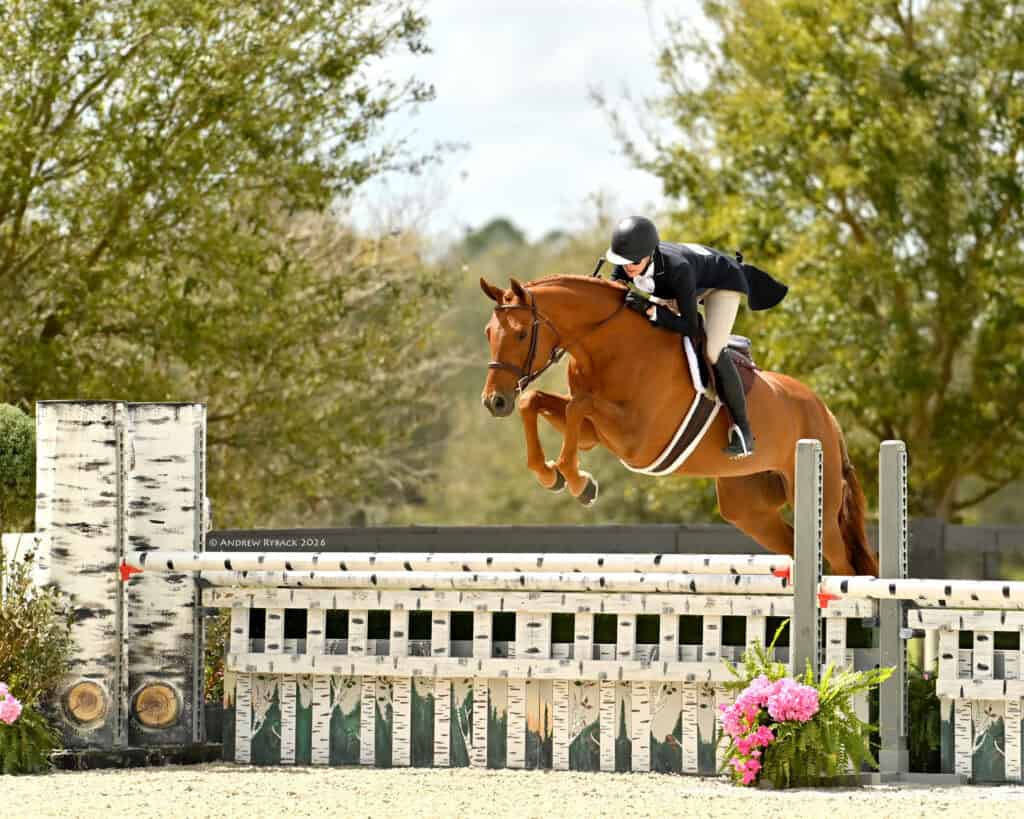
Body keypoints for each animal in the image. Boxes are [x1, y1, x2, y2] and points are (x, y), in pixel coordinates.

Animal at [479, 274, 879, 577]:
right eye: (488, 333)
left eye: (520, 334)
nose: (494, 402)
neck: (608, 346)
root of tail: (825, 413)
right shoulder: (596, 434)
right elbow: (536, 402)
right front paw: (552, 475)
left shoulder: (636, 440)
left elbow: (579, 407)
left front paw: (578, 482)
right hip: (748, 507)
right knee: (797, 548)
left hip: (818, 498)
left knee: (843, 563)